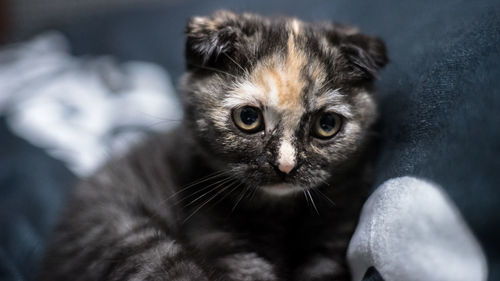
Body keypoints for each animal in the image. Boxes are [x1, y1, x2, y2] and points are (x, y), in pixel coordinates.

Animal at [41, 10, 388, 280]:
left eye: (326, 125)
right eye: (248, 118)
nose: (286, 166)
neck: (280, 212)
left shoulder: (334, 234)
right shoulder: (220, 237)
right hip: (129, 235)